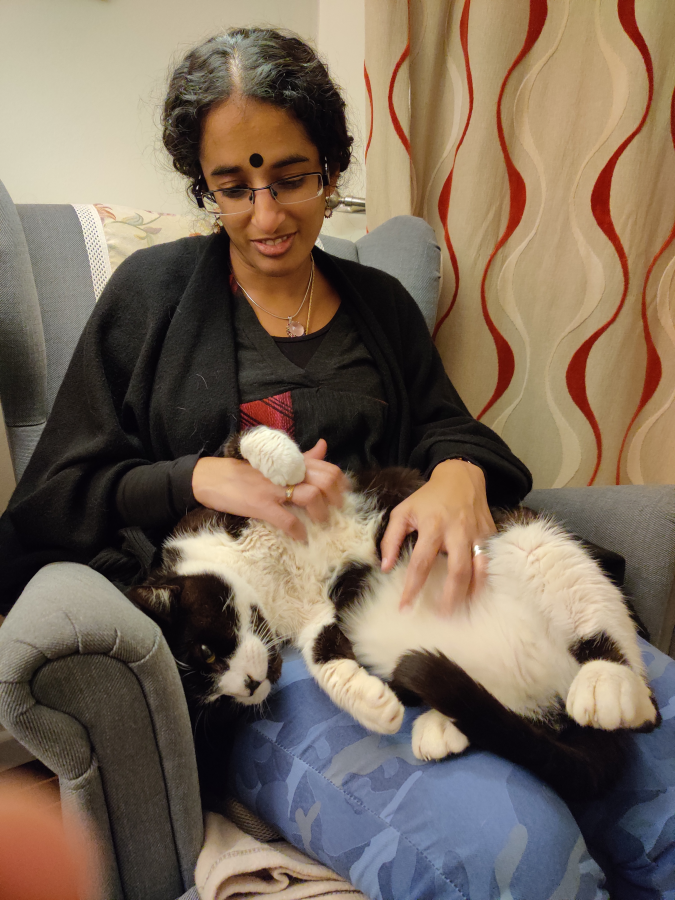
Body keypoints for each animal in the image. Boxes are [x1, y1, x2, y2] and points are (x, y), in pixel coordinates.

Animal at [129, 426, 660, 802]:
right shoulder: (317, 617)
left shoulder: (218, 512)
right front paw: (371, 702)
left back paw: (607, 685)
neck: (254, 575)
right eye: (216, 699)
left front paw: (287, 464)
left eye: (205, 650)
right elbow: (324, 655)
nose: (249, 686)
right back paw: (442, 728)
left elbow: (238, 443)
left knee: (628, 674)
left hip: (532, 540)